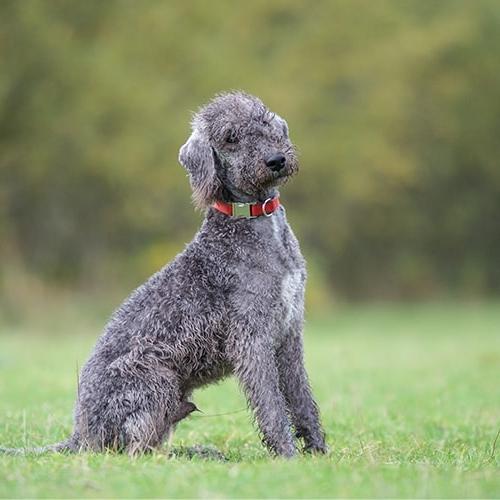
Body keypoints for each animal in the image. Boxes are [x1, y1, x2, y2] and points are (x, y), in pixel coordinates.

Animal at [0, 91, 326, 458]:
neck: (254, 221)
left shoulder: (289, 333)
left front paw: (318, 451)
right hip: (154, 378)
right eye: (230, 137)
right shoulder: (252, 339)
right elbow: (271, 404)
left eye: (266, 123)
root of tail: (80, 434)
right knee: (135, 452)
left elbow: (301, 398)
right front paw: (287, 455)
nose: (276, 160)